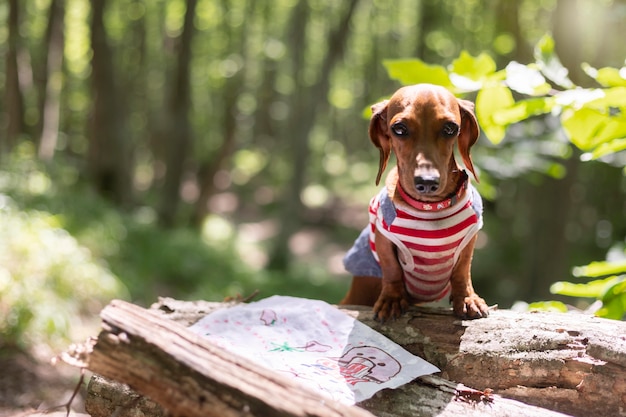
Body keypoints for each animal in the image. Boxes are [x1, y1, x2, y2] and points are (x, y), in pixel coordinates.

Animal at [342, 83, 488, 320]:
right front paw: (392, 299)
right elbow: (391, 268)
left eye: (450, 128)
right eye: (399, 129)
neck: (430, 208)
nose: (427, 182)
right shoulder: (383, 235)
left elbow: (463, 270)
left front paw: (467, 298)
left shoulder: (470, 238)